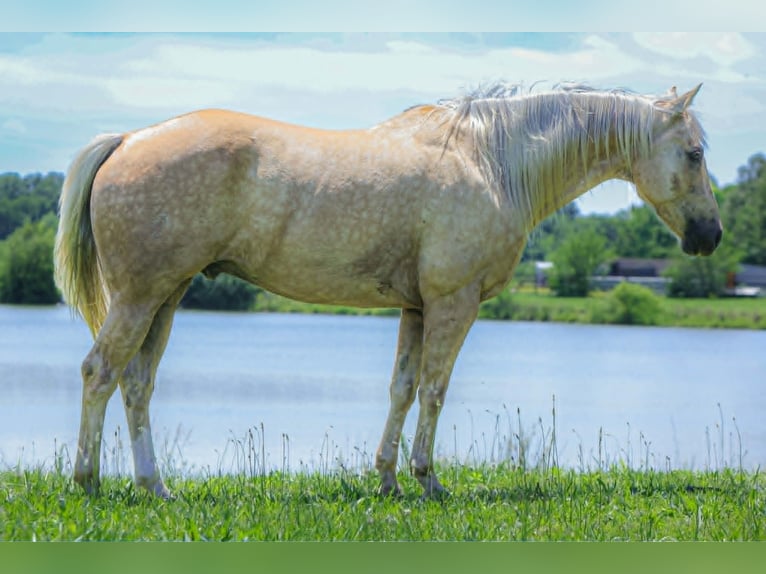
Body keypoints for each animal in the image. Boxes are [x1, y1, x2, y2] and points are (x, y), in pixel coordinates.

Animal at [54, 83, 722, 498]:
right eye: (692, 154)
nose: (710, 235)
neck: (492, 159)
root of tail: (128, 139)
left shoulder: (415, 308)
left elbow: (401, 390)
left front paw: (387, 480)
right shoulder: (454, 303)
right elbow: (433, 390)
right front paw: (427, 480)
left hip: (165, 297)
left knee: (137, 385)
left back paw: (155, 487)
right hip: (139, 298)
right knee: (98, 372)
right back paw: (88, 481)